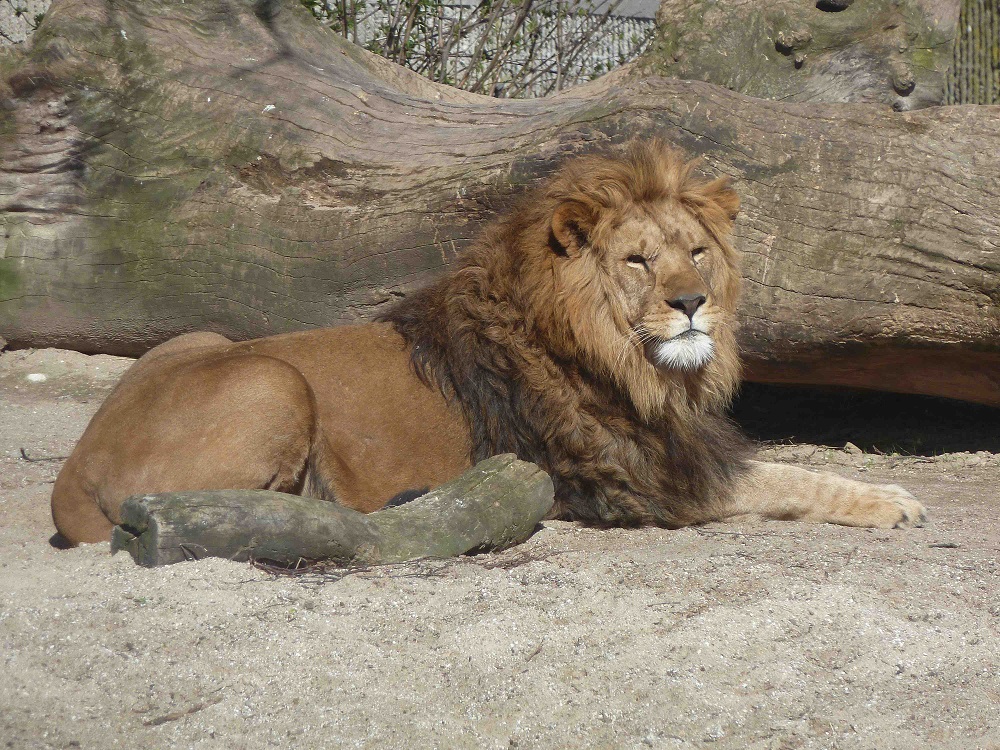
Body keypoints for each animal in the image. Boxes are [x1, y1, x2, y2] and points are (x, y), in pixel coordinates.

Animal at [51, 140, 926, 546]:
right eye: (638, 260)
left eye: (697, 251)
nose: (692, 305)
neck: (635, 367)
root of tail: (72, 467)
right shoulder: (639, 484)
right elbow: (792, 480)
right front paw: (891, 501)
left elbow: (792, 467)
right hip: (270, 377)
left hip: (200, 338)